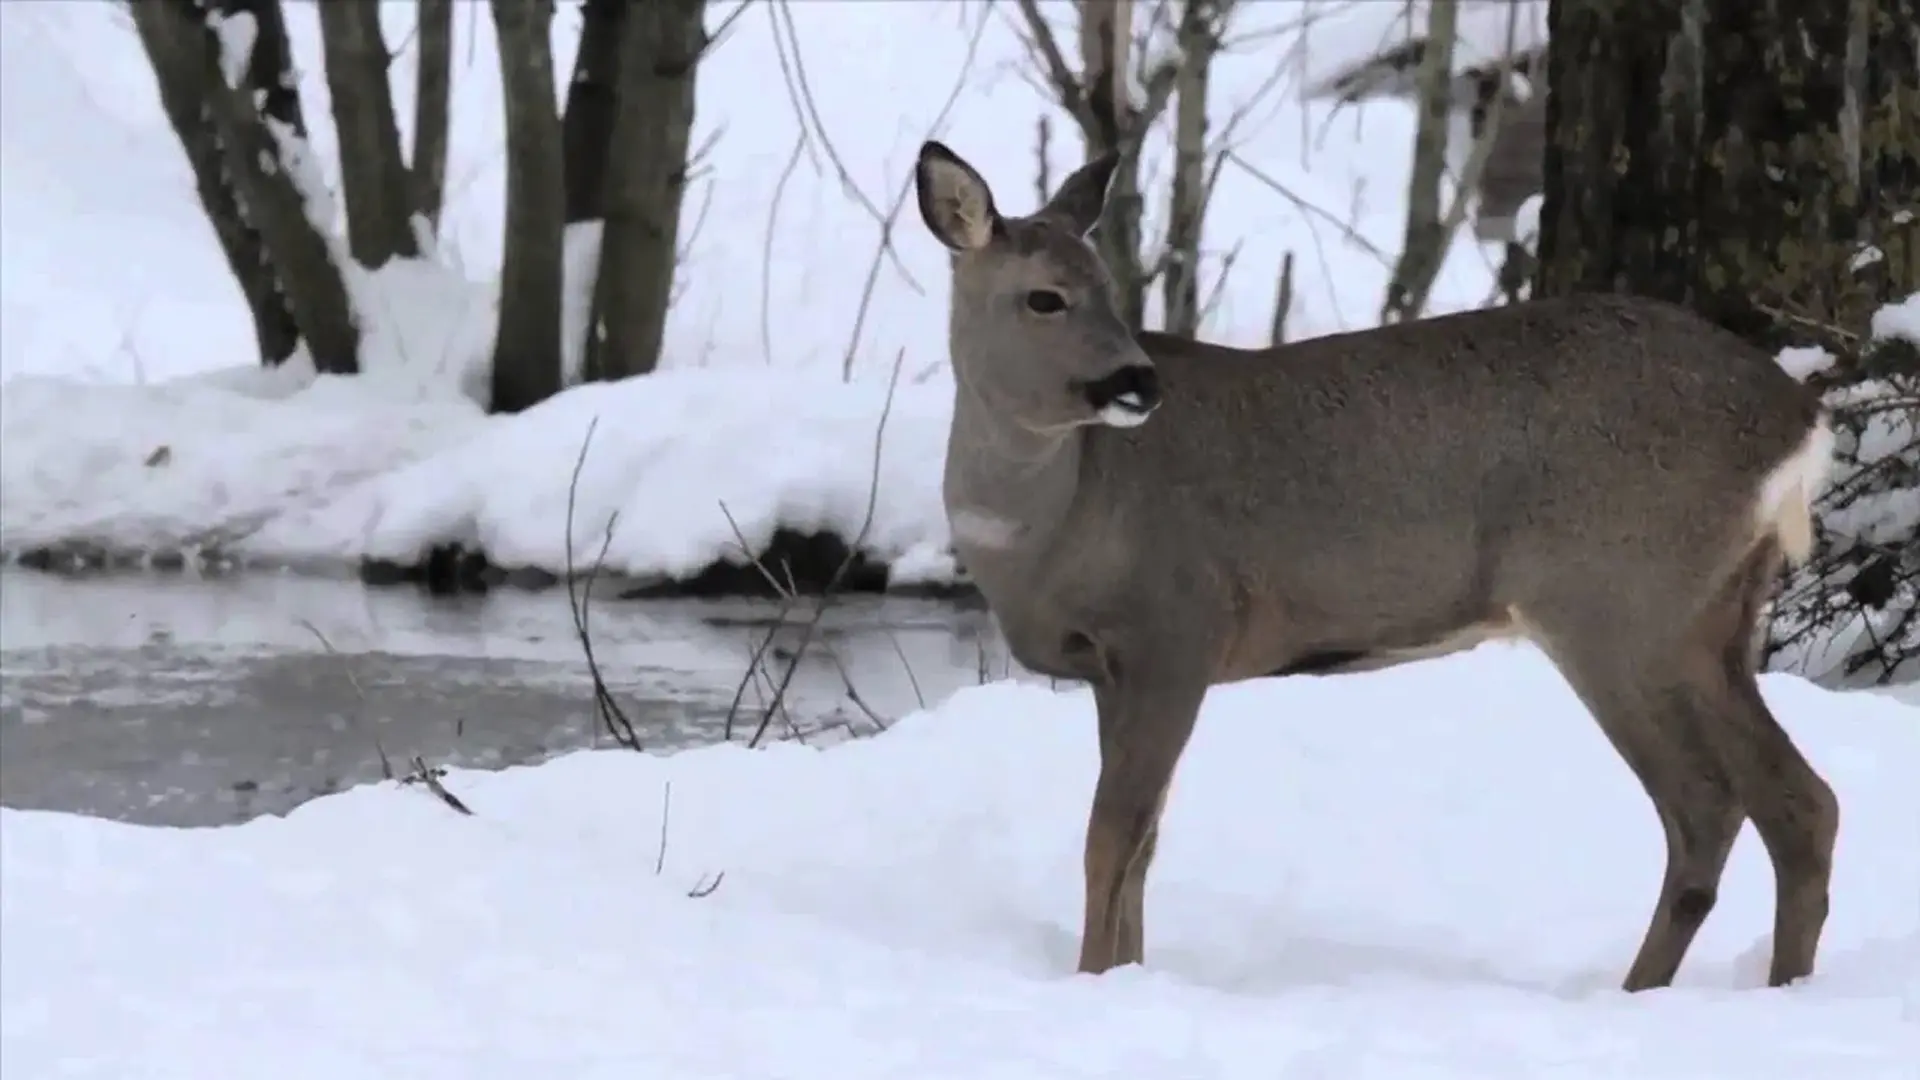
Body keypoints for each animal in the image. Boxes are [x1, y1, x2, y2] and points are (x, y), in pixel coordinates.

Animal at [913, 138, 1843, 991]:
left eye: (1107, 288)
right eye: (1045, 296)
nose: (1138, 381)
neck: (1055, 520)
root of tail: (1798, 420)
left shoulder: (1179, 631)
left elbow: (1112, 837)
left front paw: (1093, 982)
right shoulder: (1121, 669)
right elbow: (1142, 843)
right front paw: (1128, 975)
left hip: (1619, 602)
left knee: (1707, 803)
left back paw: (1644, 991)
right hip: (1712, 615)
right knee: (1799, 802)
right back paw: (1771, 986)